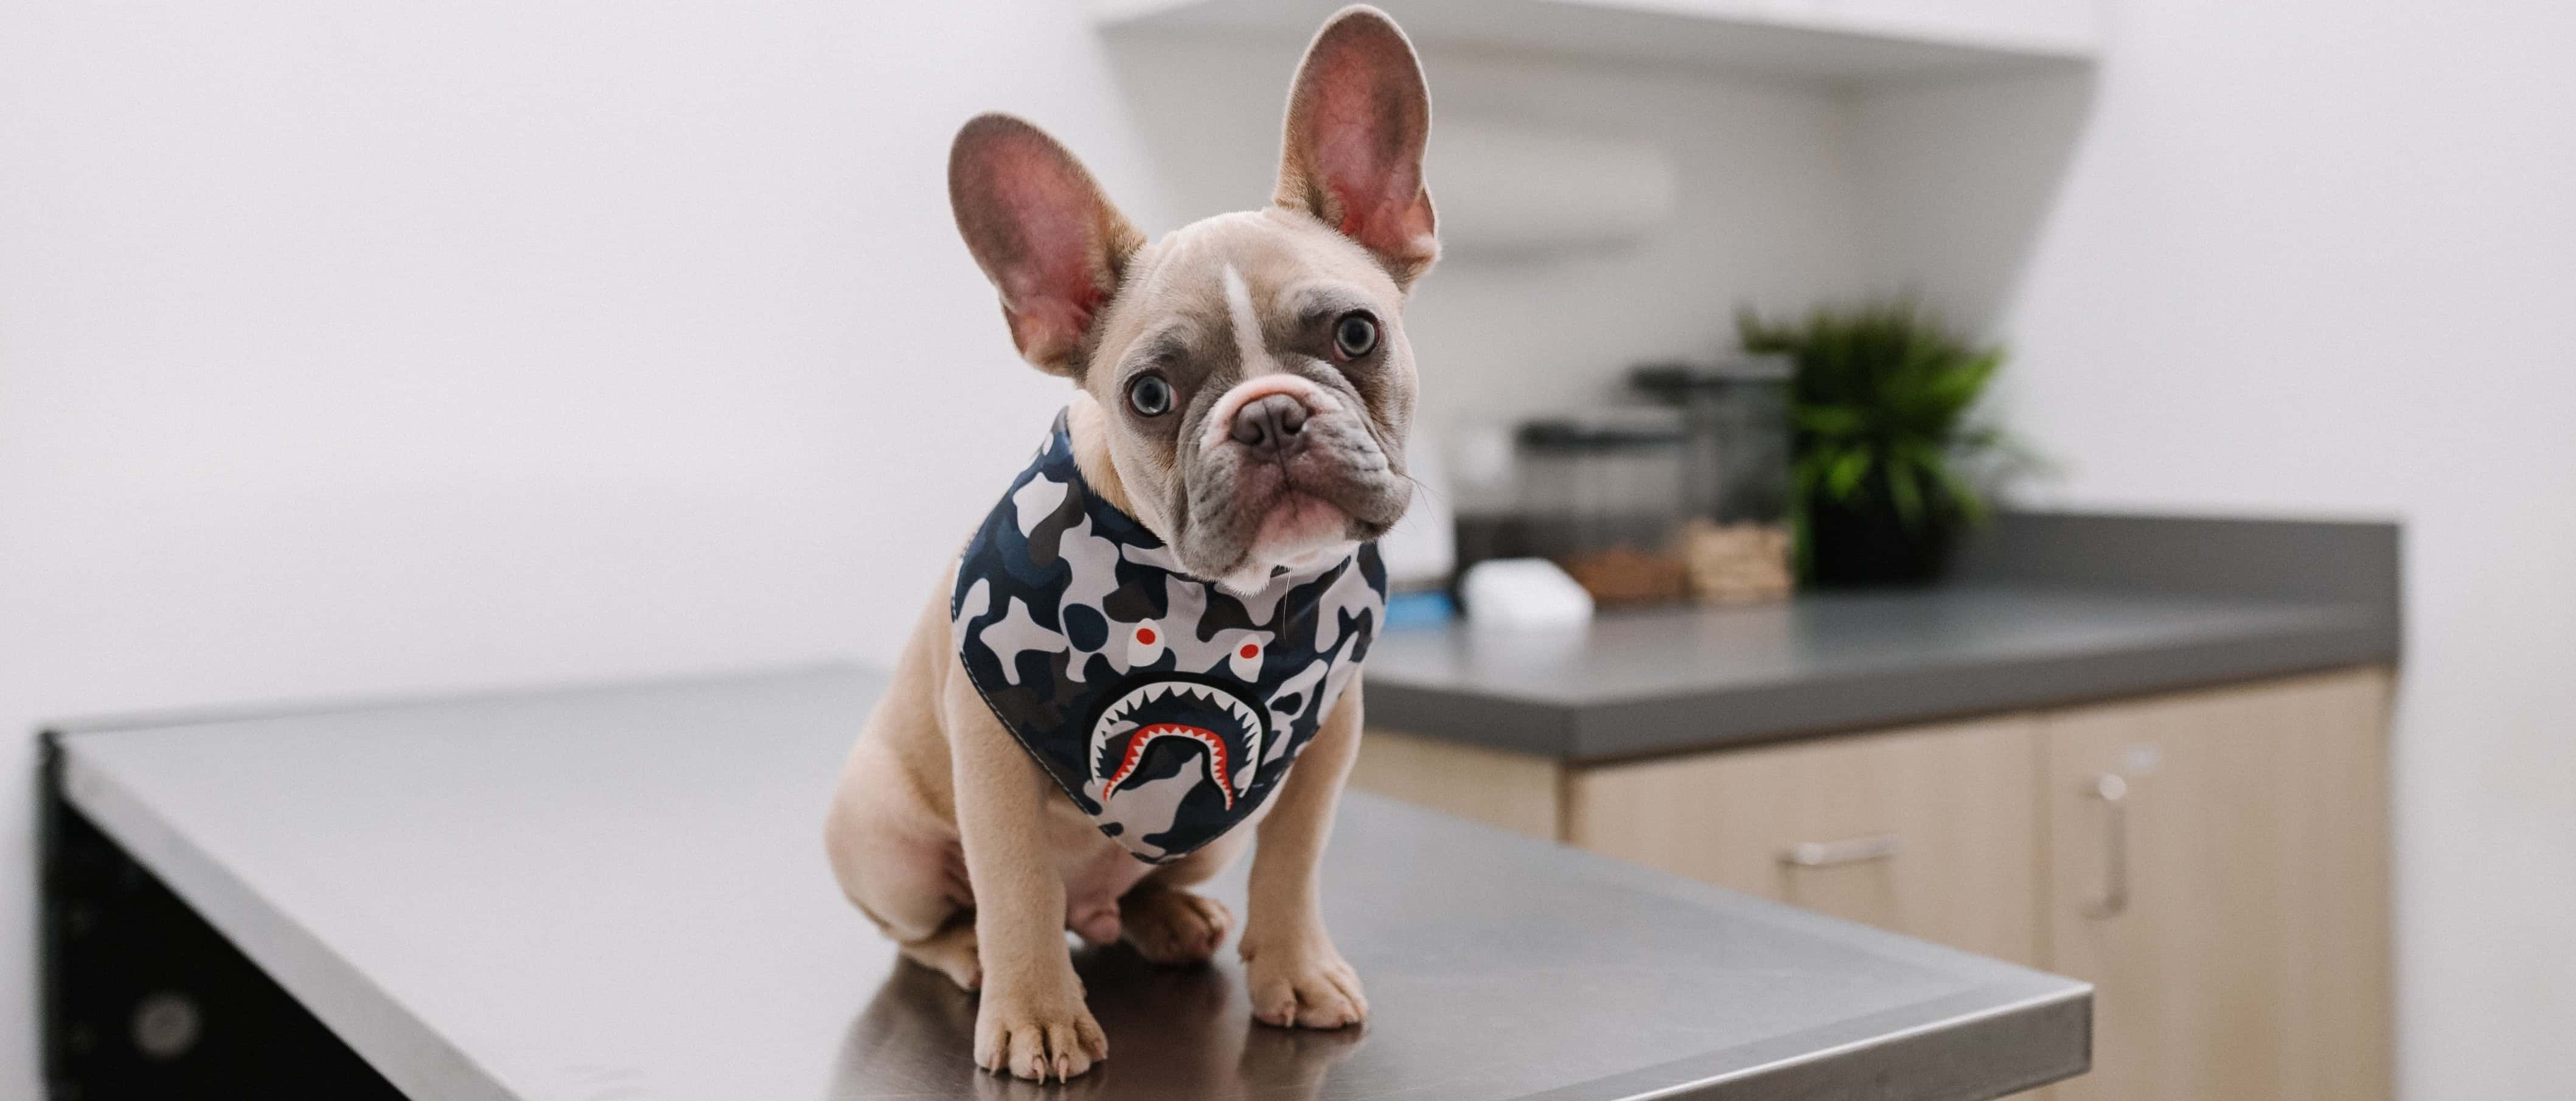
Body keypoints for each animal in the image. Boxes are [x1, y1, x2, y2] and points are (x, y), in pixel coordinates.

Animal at [819, 2, 1443, 1088]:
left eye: (1357, 334)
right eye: (1149, 394)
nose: (1269, 415)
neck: (1227, 607)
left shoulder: (1325, 744)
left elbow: (1294, 861)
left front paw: (1295, 969)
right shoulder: (992, 750)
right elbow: (1015, 884)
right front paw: (1035, 1016)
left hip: (1203, 836)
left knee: (1143, 888)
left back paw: (1170, 917)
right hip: (881, 834)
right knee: (932, 922)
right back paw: (970, 954)